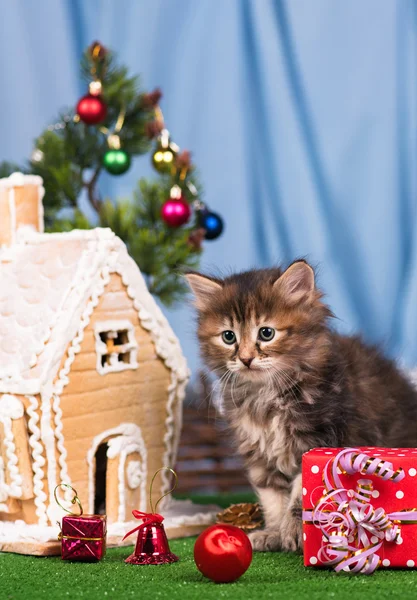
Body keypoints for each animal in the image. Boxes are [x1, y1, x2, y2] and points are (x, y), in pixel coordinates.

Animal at [186, 262, 417, 552]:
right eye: (228, 337)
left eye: (266, 333)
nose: (246, 359)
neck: (266, 396)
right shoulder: (258, 452)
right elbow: (272, 497)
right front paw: (273, 532)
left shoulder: (320, 438)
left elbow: (300, 496)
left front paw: (296, 532)